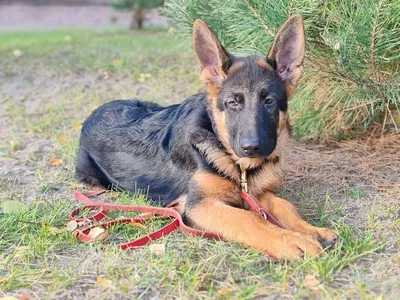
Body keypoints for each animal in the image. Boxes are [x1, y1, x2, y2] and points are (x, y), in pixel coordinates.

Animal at [76, 16, 338, 258]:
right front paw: (291, 240)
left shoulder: (255, 194)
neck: (237, 164)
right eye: (233, 103)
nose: (252, 148)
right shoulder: (199, 204)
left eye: (269, 101)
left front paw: (311, 230)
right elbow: (250, 219)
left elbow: (284, 206)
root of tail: (94, 113)